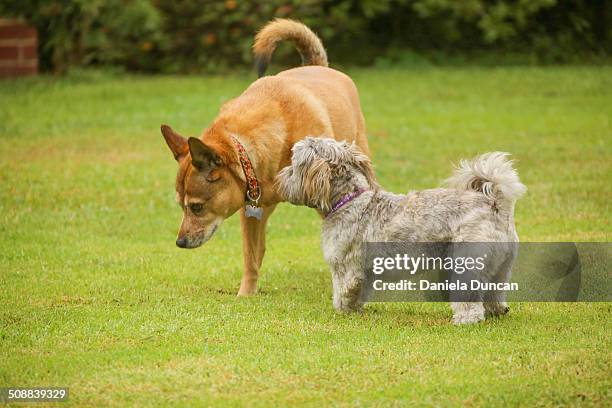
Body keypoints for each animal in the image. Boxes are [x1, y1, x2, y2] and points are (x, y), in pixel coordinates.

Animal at [161, 19, 368, 294]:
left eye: (196, 207)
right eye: (180, 205)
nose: (180, 242)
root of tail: (318, 66)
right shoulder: (250, 210)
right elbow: (250, 257)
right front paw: (246, 294)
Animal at [278, 137, 524, 326]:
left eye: (294, 164)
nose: (279, 177)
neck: (350, 200)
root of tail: (494, 204)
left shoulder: (345, 267)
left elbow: (343, 291)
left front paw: (342, 310)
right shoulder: (365, 272)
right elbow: (360, 292)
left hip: (466, 265)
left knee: (470, 299)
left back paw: (466, 320)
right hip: (502, 268)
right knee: (494, 292)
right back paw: (496, 311)